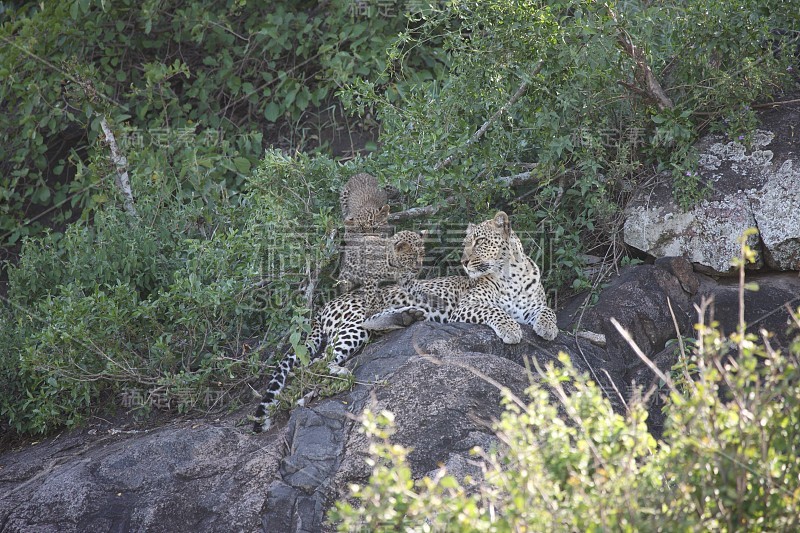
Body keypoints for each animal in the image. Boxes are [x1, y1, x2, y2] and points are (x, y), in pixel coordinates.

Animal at [253, 229, 428, 432]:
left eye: (422, 254)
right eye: (412, 256)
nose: (419, 267)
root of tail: (320, 310)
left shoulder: (405, 279)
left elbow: (414, 289)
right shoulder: (370, 278)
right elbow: (372, 296)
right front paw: (375, 307)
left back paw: (406, 316)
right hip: (351, 321)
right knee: (317, 363)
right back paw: (344, 371)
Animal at [364, 212, 560, 344]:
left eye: (480, 241)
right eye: (465, 244)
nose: (463, 262)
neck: (511, 276)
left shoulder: (530, 308)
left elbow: (548, 310)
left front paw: (547, 327)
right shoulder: (464, 306)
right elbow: (494, 310)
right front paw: (510, 329)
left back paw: (406, 317)